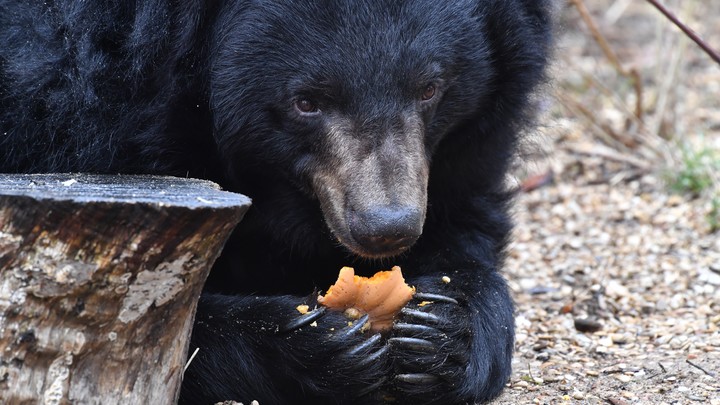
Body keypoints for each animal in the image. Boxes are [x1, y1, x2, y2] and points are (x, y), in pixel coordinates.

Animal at [0, 1, 552, 402]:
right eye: (306, 102)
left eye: (430, 89)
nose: (386, 228)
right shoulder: (69, 118)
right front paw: (319, 343)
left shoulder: (466, 150)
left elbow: (465, 227)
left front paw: (442, 332)